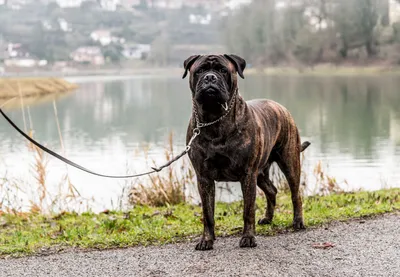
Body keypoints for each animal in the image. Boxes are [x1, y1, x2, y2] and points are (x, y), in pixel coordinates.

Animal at [183, 54, 310, 250]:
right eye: (200, 70)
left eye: (222, 70)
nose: (210, 78)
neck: (214, 119)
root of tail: (280, 106)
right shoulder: (204, 178)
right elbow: (208, 213)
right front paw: (206, 240)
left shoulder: (247, 174)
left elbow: (248, 210)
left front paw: (248, 237)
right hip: (260, 172)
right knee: (272, 190)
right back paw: (267, 218)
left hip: (289, 162)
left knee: (295, 194)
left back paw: (298, 222)